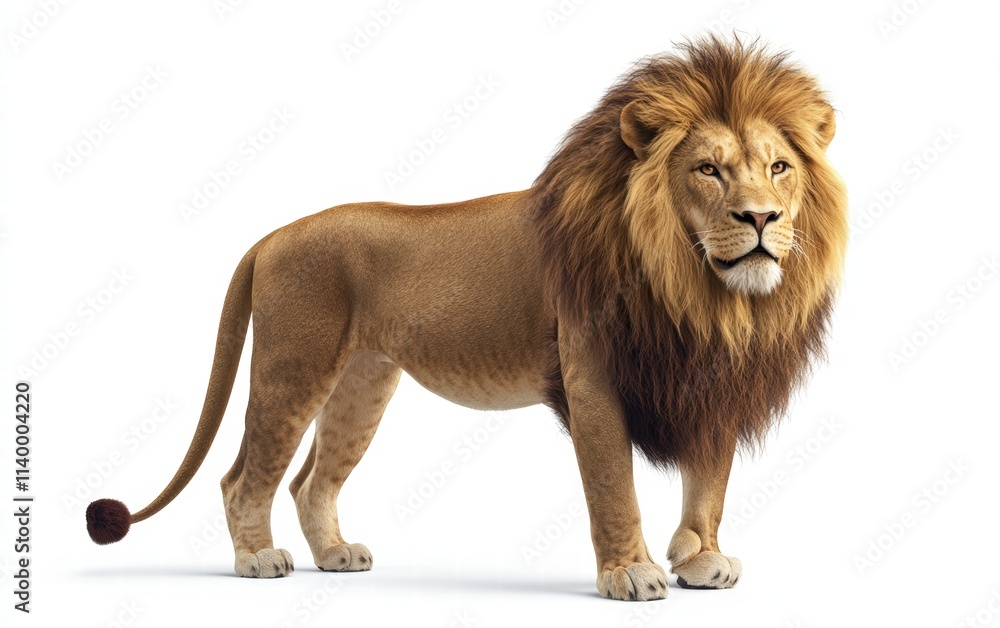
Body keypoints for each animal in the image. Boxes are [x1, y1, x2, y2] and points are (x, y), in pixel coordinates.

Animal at [85, 37, 847, 601]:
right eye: (708, 171)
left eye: (779, 168)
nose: (761, 219)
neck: (705, 295)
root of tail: (270, 237)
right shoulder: (591, 376)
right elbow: (613, 484)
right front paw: (631, 573)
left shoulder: (712, 382)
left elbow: (709, 482)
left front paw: (700, 561)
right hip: (292, 366)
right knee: (244, 476)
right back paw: (257, 561)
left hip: (362, 384)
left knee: (310, 481)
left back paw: (334, 554)